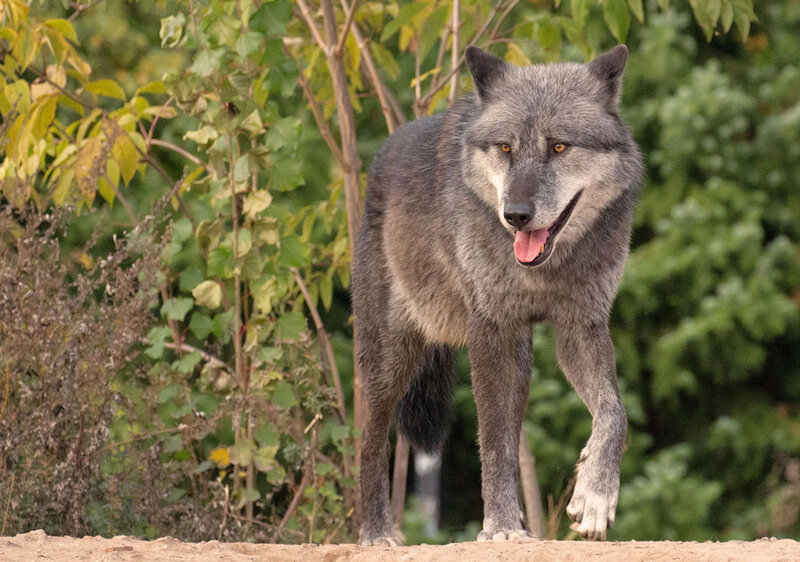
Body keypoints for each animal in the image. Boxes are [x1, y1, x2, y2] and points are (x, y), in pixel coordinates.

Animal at [352, 45, 642, 544]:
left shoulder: (581, 327)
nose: (516, 215)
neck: (543, 271)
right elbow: (492, 441)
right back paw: (376, 534)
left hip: (520, 358)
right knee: (369, 444)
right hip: (391, 362)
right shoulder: (489, 331)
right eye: (506, 148)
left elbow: (614, 413)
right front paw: (502, 527)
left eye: (558, 146)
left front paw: (595, 497)